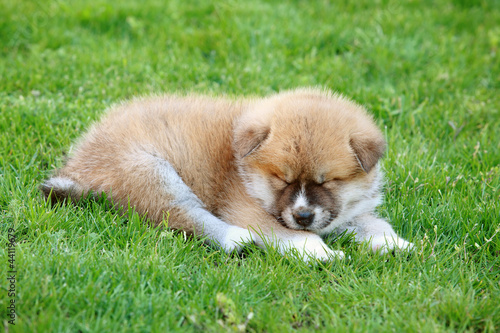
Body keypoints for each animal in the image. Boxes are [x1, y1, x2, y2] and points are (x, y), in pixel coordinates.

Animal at [41, 87, 412, 260]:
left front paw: (395, 243)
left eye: (329, 182)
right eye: (282, 179)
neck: (243, 167)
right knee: (186, 216)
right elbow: (291, 236)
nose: (303, 215)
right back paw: (236, 238)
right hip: (151, 173)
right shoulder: (246, 208)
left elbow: (373, 223)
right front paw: (320, 252)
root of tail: (79, 163)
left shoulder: (347, 211)